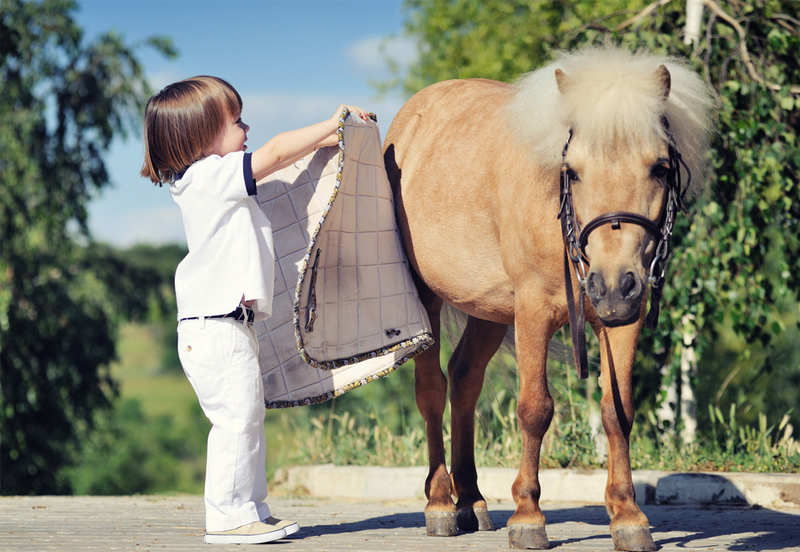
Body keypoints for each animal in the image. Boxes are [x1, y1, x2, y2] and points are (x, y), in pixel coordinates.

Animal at [384, 47, 716, 552]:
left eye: (660, 167)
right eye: (572, 171)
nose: (612, 285)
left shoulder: (623, 320)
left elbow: (617, 411)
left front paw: (628, 515)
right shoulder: (534, 311)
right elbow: (535, 409)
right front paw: (528, 516)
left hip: (491, 310)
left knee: (464, 380)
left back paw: (471, 501)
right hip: (429, 299)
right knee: (432, 391)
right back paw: (440, 503)